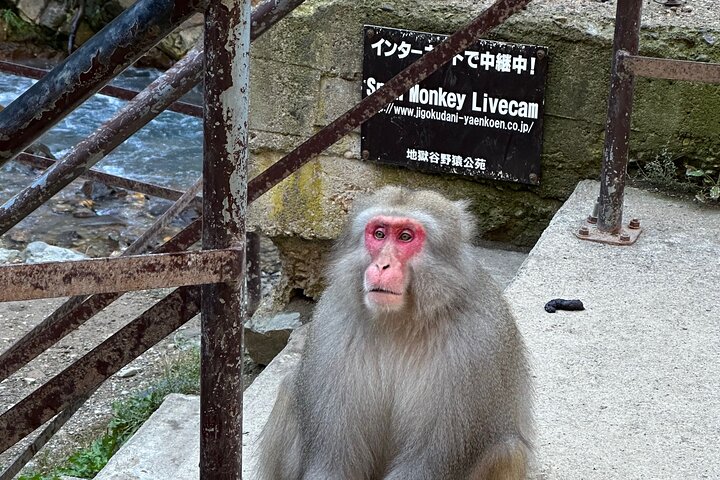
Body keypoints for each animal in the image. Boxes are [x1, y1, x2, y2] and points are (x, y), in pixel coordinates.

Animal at [254, 186, 533, 480]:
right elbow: (332, 463)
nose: (381, 266)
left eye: (405, 237)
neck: (400, 321)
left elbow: (426, 466)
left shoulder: (474, 346)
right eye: (379, 234)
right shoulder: (331, 326)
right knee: (289, 389)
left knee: (507, 450)